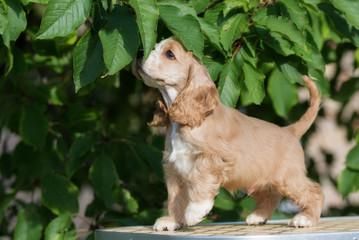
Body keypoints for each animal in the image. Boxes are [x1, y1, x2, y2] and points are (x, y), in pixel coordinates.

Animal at [134, 37, 324, 231]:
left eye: (170, 54)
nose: (139, 52)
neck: (186, 122)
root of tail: (290, 130)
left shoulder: (213, 158)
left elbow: (200, 182)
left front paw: (194, 213)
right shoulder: (174, 169)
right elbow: (175, 198)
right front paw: (172, 221)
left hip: (288, 177)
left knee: (314, 191)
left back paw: (306, 219)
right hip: (258, 178)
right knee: (271, 195)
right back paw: (258, 216)